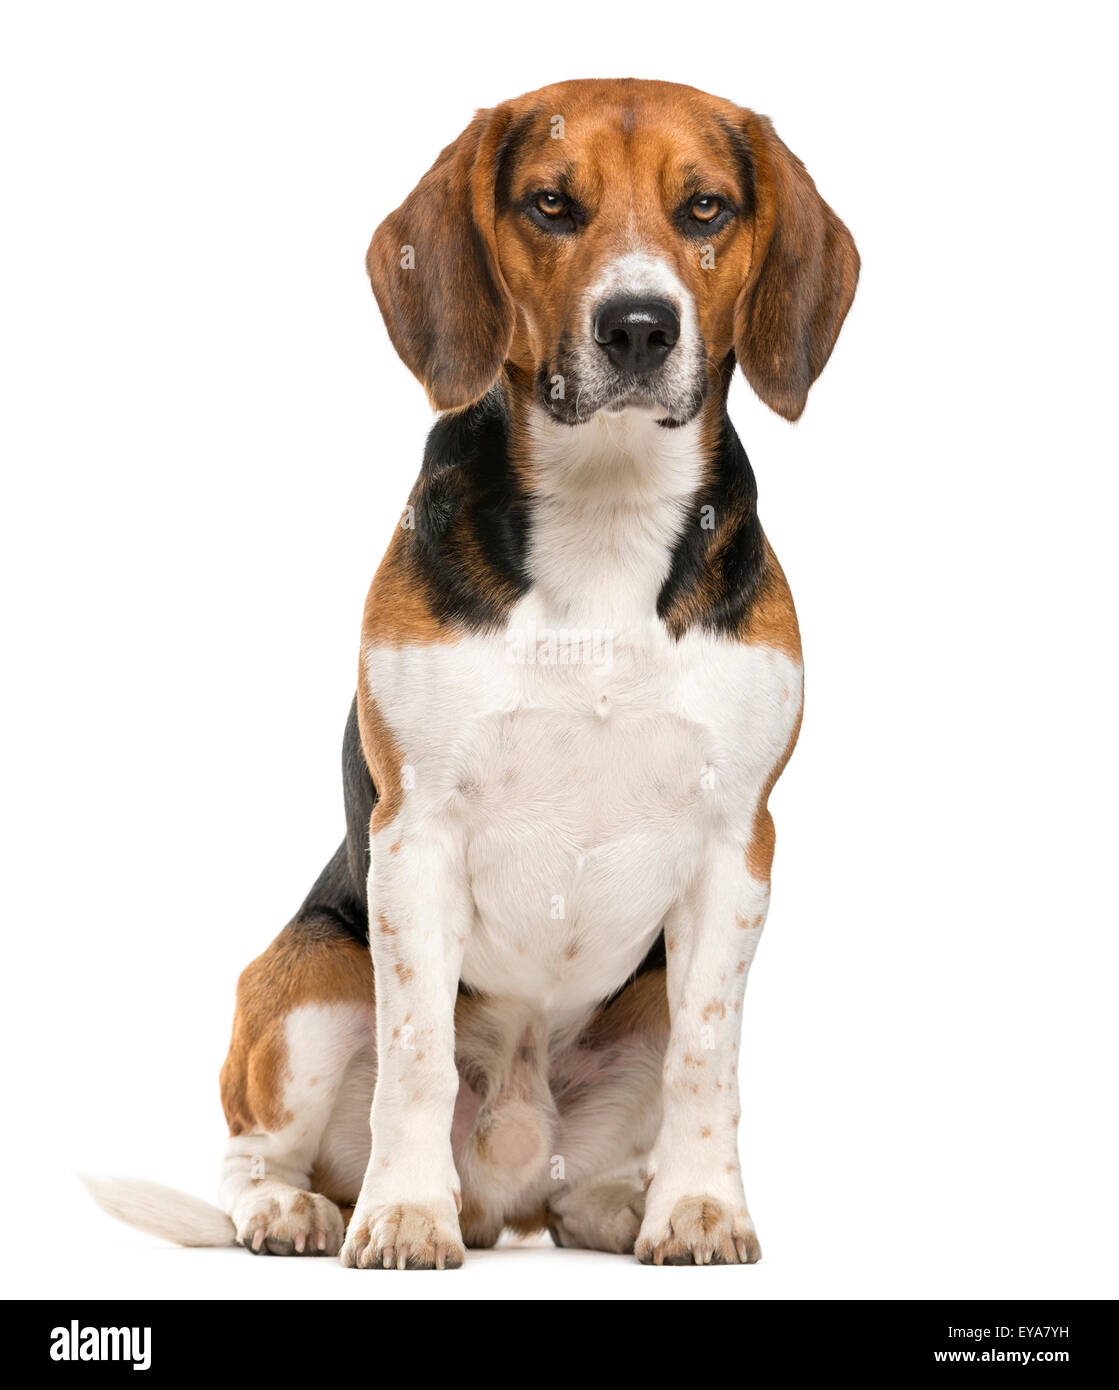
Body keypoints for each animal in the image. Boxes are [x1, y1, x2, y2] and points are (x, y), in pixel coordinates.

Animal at [91, 76, 856, 1273]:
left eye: (706, 209)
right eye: (550, 204)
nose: (638, 325)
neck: (604, 510)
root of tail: (507, 1187)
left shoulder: (739, 844)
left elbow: (707, 1057)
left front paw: (697, 1207)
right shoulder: (416, 834)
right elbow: (416, 1055)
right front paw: (405, 1212)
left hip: (623, 1019)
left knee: (590, 1168)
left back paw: (617, 1206)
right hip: (310, 980)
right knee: (256, 1149)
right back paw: (296, 1211)